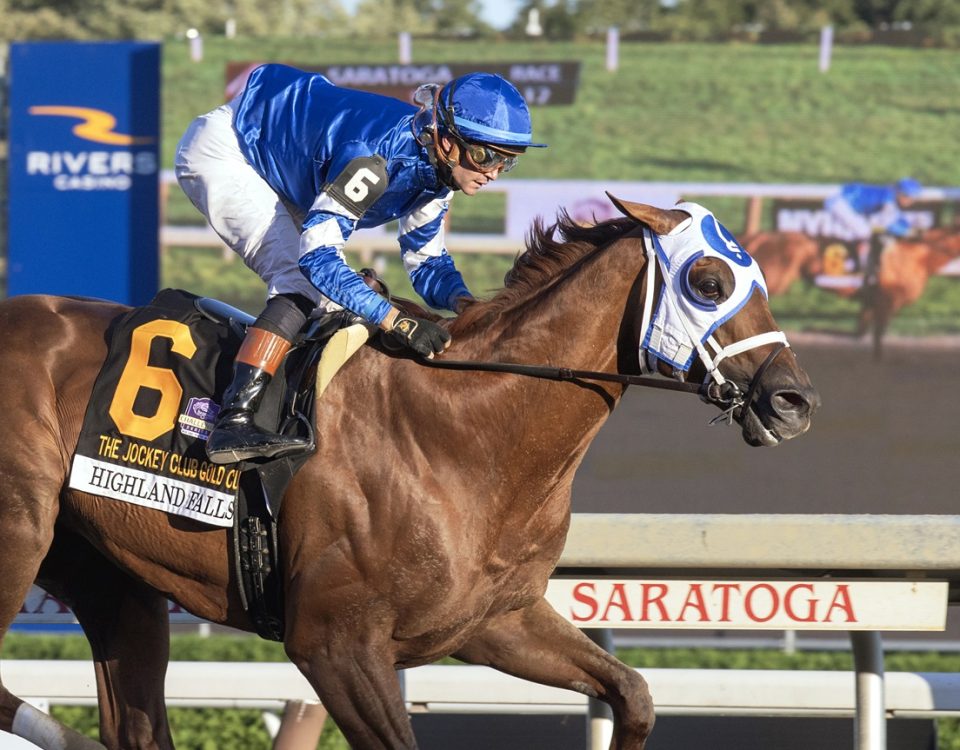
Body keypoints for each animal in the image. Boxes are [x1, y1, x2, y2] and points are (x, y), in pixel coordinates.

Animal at [0, 197, 816, 748]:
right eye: (708, 282)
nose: (793, 400)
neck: (462, 432)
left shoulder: (494, 620)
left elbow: (633, 692)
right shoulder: (334, 644)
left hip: (112, 581)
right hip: (20, 538)